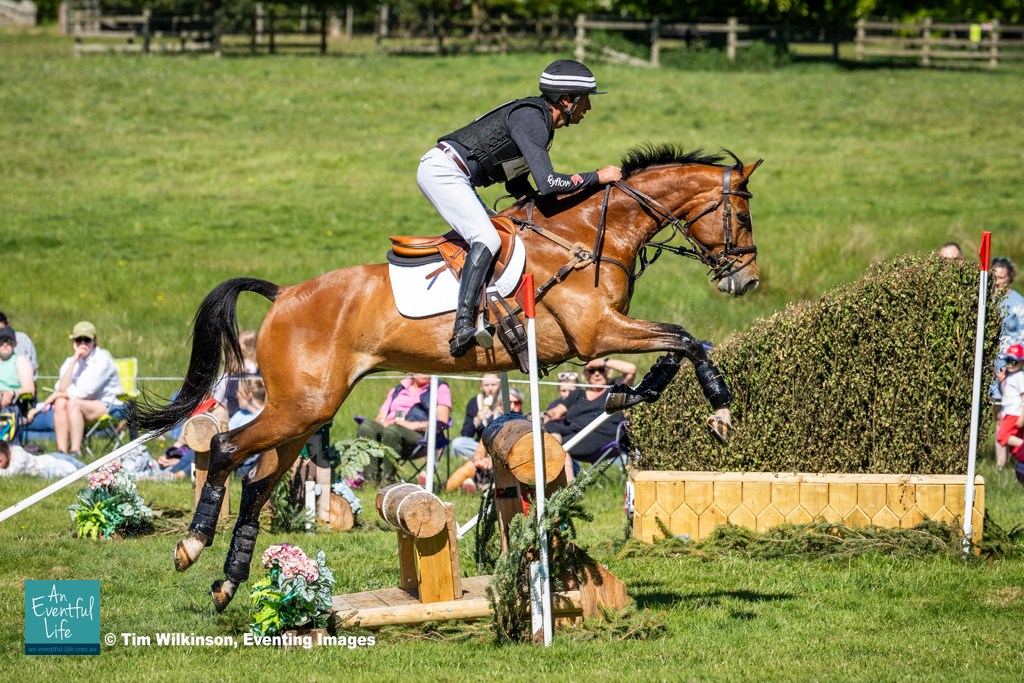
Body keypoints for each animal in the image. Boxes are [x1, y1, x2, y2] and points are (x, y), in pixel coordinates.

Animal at [133, 144, 762, 611]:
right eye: (742, 214)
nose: (747, 282)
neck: (587, 234)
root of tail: (284, 293)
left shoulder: (606, 335)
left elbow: (677, 344)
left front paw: (630, 391)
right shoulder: (596, 333)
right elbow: (685, 337)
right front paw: (718, 408)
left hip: (307, 412)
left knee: (258, 481)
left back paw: (227, 583)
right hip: (301, 406)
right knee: (224, 447)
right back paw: (191, 545)